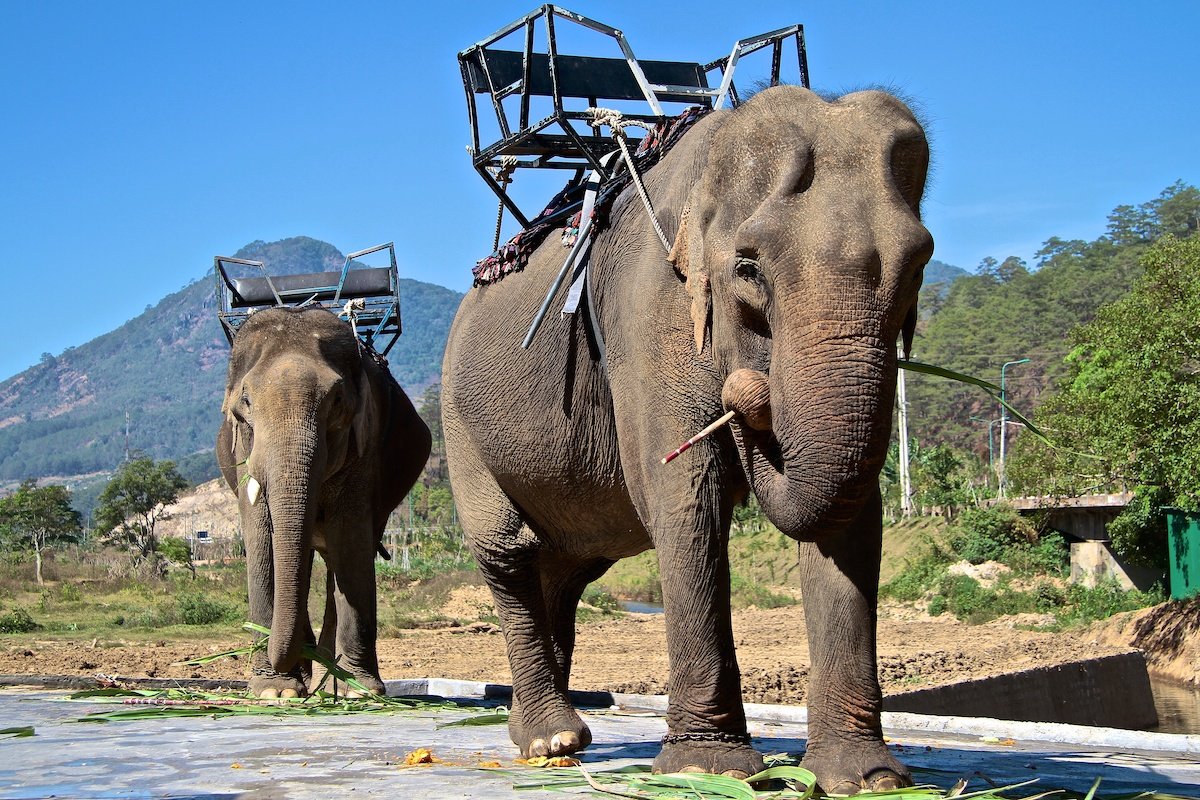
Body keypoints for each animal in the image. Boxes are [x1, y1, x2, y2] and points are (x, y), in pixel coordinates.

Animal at [217, 303, 432, 695]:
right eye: (246, 403)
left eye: (336, 401)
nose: (288, 660)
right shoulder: (243, 451)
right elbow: (260, 537)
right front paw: (276, 691)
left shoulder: (366, 444)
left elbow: (349, 537)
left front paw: (358, 690)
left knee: (340, 557)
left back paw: (330, 678)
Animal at [444, 86, 936, 786]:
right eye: (748, 267)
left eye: (918, 264)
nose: (749, 393)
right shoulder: (651, 315)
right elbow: (685, 497)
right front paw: (709, 768)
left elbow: (851, 517)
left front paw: (867, 780)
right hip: (461, 429)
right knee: (509, 552)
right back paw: (550, 740)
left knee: (563, 571)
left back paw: (554, 737)